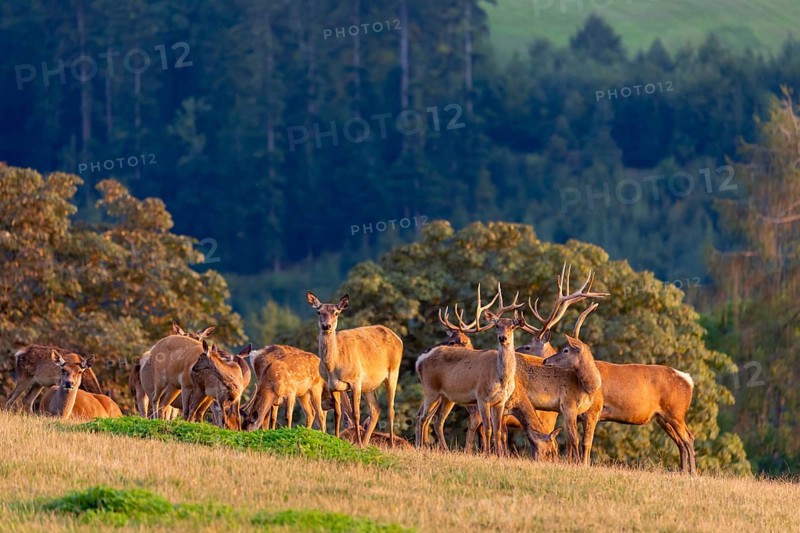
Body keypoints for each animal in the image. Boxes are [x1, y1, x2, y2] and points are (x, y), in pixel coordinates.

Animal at [306, 291, 403, 447]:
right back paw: (366, 442)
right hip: (369, 385)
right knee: (376, 408)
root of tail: (398, 338)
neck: (333, 367)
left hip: (393, 371)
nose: (326, 326)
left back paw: (390, 444)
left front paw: (357, 442)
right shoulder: (333, 385)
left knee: (391, 409)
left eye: (336, 313)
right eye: (318, 312)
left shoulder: (356, 380)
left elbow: (356, 414)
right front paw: (337, 438)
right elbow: (338, 413)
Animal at [517, 280, 697, 474]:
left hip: (676, 411)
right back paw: (683, 471)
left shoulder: (593, 410)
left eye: (527, 347)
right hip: (663, 417)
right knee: (680, 442)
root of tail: (688, 380)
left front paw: (583, 465)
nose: (545, 361)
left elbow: (585, 442)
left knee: (689, 437)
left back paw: (692, 472)